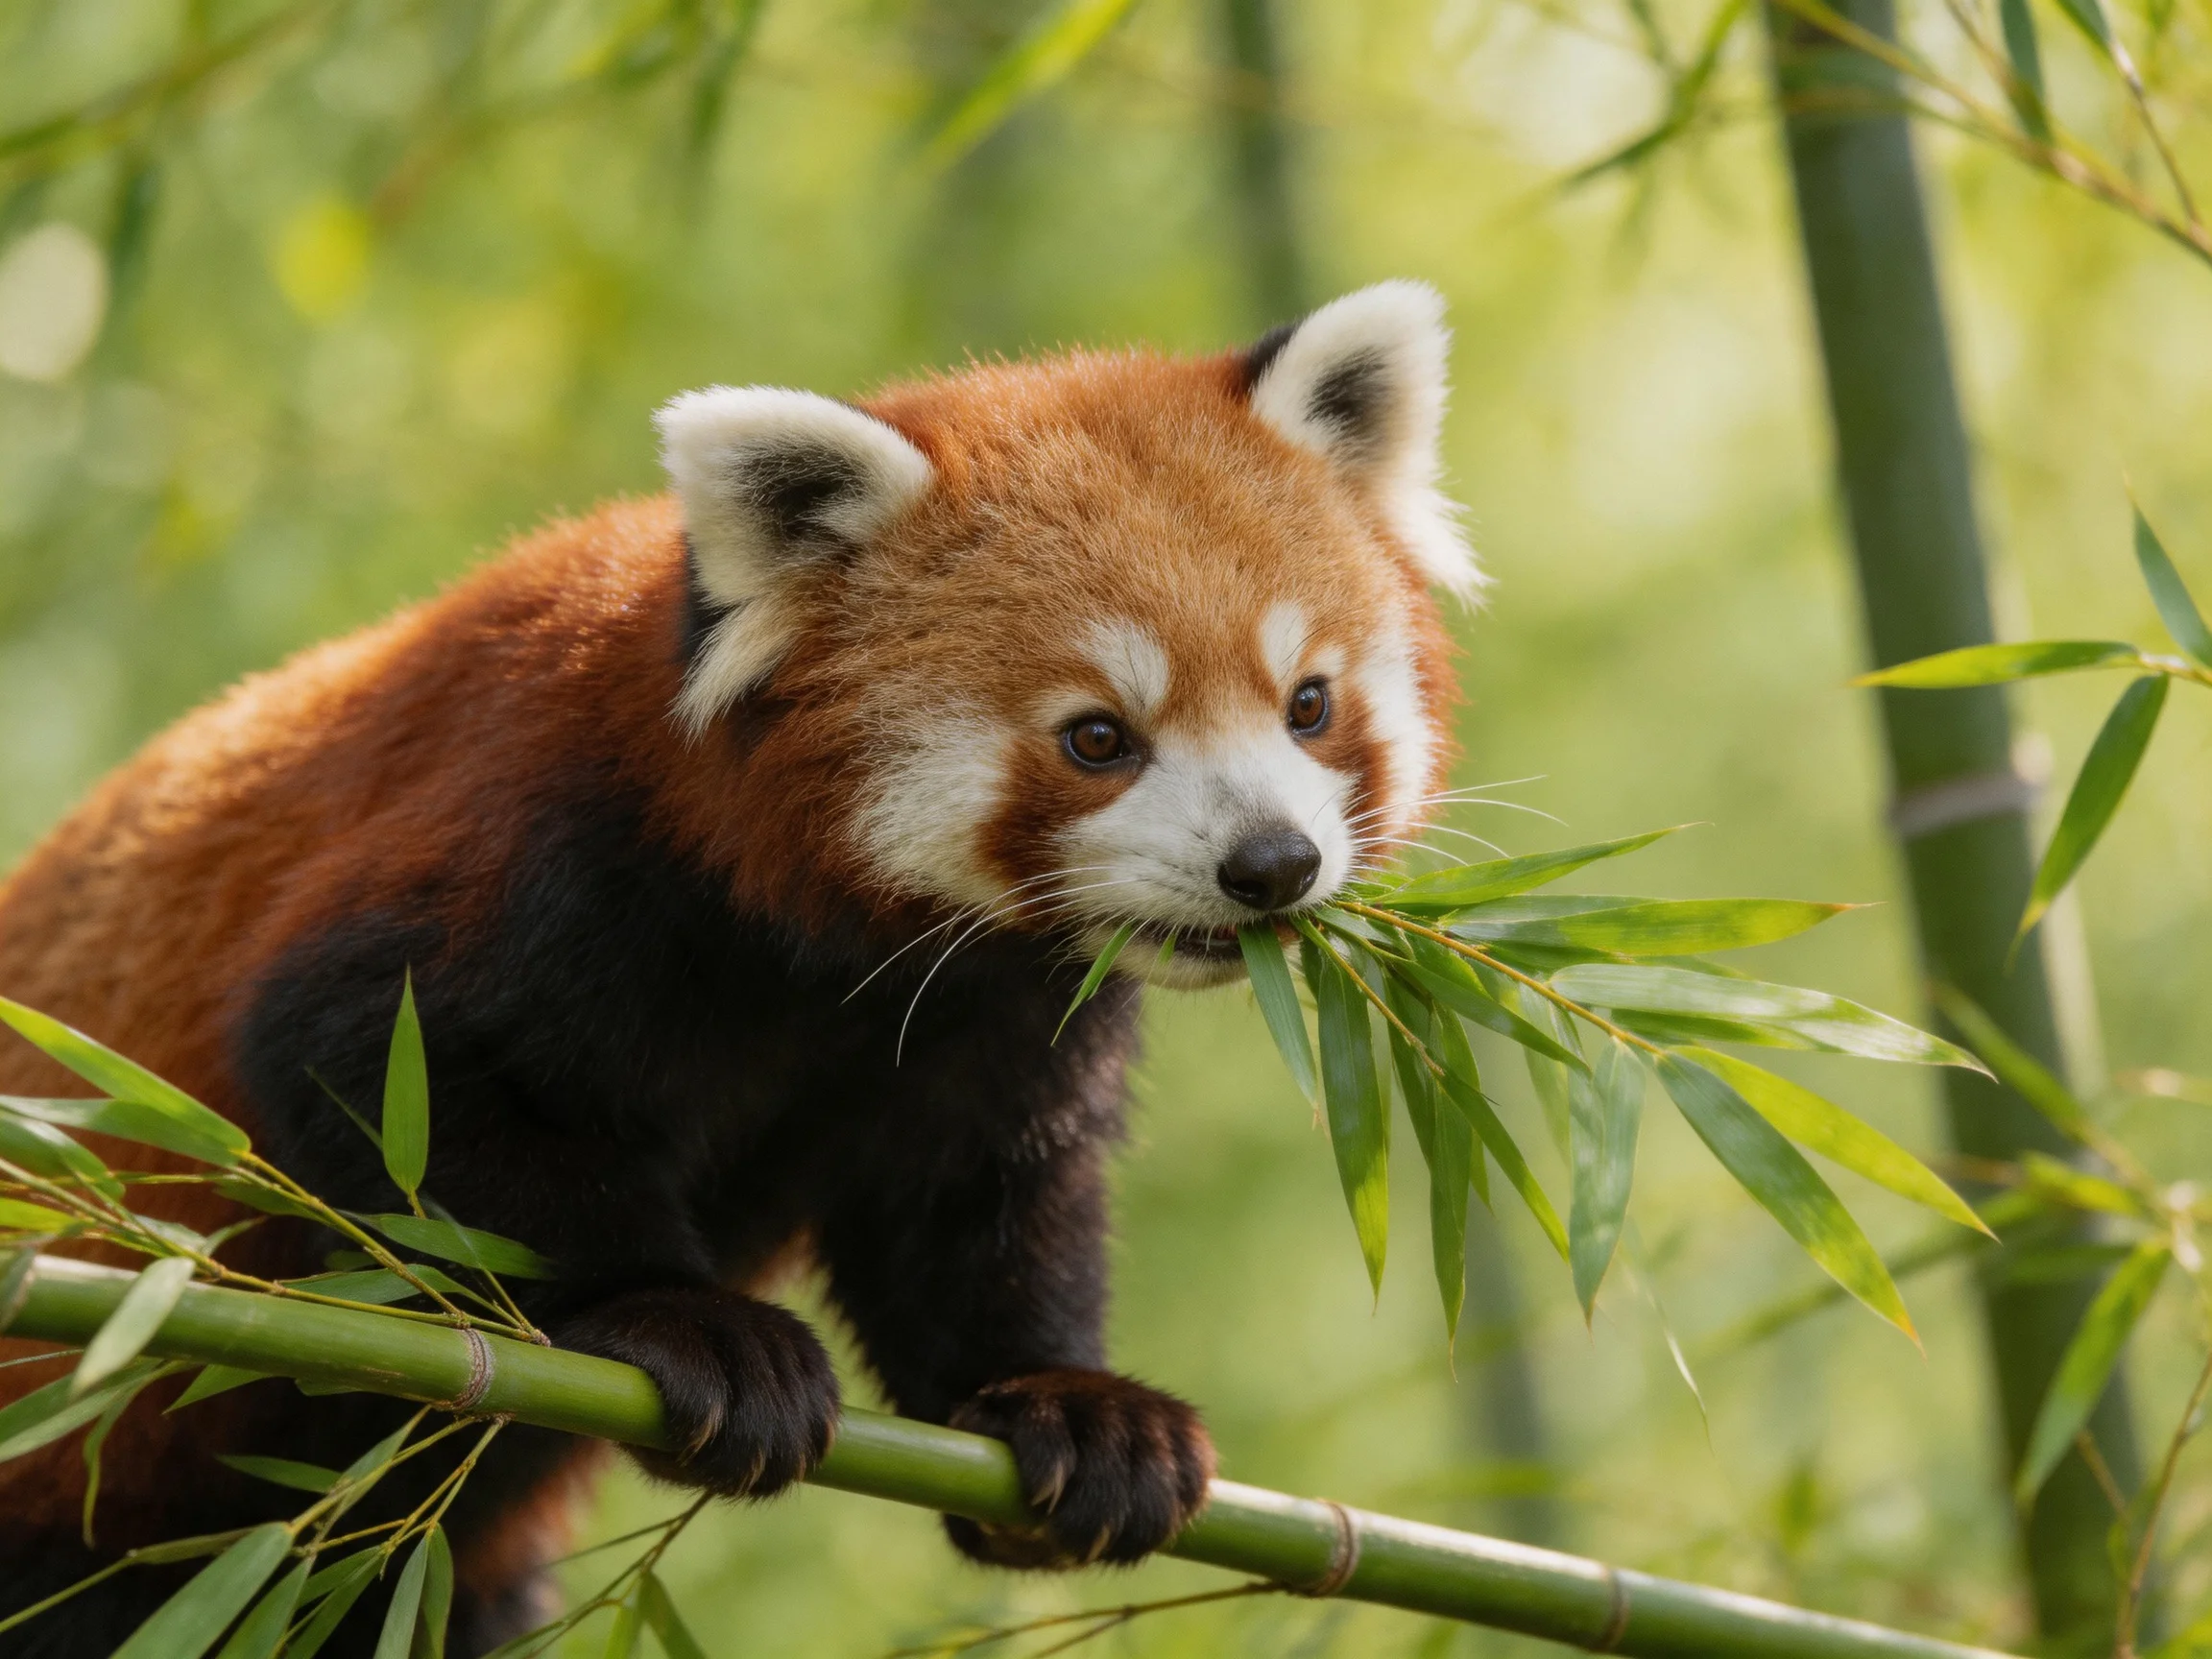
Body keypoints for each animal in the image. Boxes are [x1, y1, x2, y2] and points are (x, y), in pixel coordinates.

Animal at [0, 281, 1470, 1655]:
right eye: (1098, 738)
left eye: (1309, 704)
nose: (1272, 865)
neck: (836, 950)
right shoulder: (542, 853)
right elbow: (393, 1085)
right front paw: (681, 1324)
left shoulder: (991, 1019)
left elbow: (975, 1205)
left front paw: (1064, 1406)